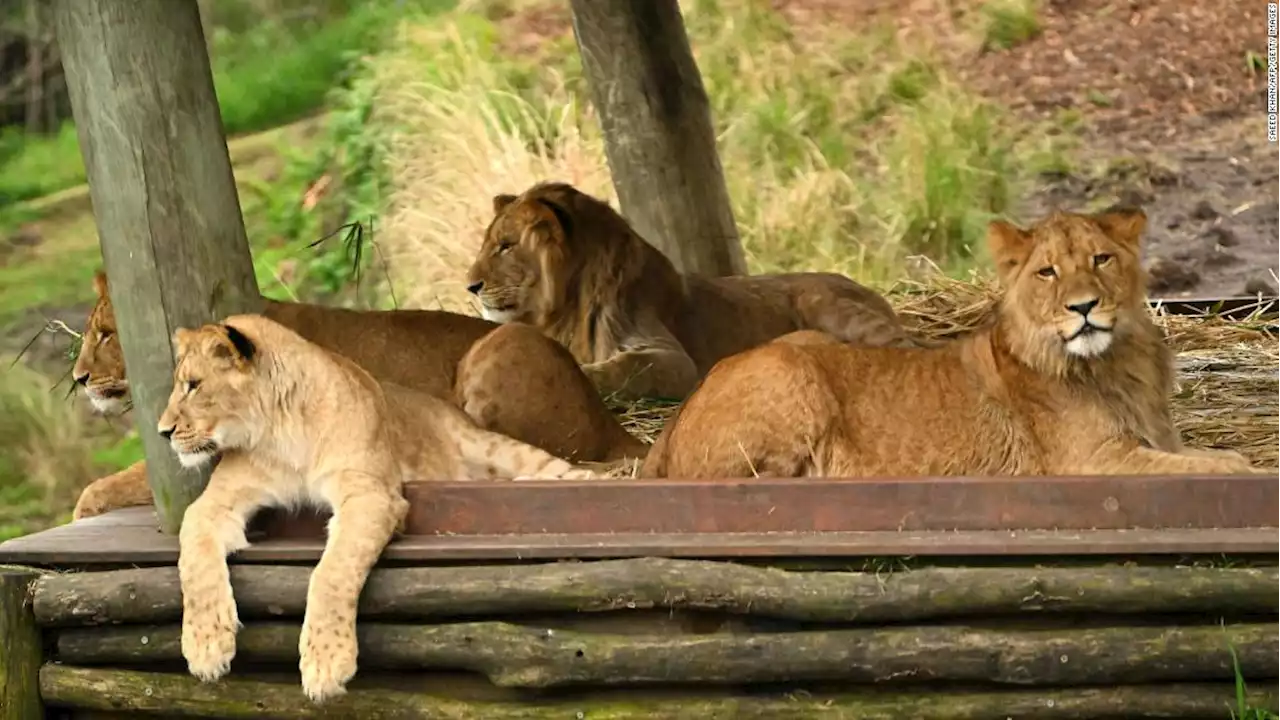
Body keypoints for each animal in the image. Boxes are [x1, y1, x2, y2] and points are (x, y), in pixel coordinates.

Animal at [66, 271, 645, 517]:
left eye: (105, 334)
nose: (78, 377)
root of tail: (612, 421)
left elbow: (110, 484)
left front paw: (83, 511)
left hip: (497, 348)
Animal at [167, 312, 601, 702]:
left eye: (193, 386)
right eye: (182, 385)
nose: (163, 431)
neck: (279, 432)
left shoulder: (371, 494)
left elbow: (332, 571)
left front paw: (326, 663)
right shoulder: (216, 501)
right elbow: (193, 557)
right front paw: (205, 644)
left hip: (494, 447)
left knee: (561, 470)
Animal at [465, 181, 916, 399]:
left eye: (506, 245)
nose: (470, 286)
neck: (567, 304)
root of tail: (868, 288)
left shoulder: (674, 361)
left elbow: (622, 369)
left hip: (829, 304)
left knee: (907, 348)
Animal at [645, 206, 1264, 476]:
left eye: (1101, 259)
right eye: (1047, 273)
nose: (1084, 307)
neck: (1117, 363)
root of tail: (674, 419)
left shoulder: (1157, 444)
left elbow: (1225, 457)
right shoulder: (1092, 464)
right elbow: (1228, 471)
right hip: (789, 372)